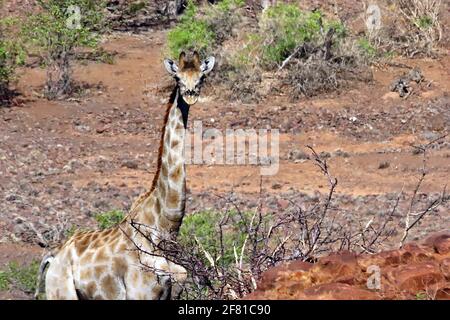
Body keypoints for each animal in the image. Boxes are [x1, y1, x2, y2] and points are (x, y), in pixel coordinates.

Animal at [36, 51, 215, 298]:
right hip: (60, 291)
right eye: (178, 78)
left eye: (201, 77)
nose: (190, 95)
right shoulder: (140, 291)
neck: (163, 228)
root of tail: (53, 257)